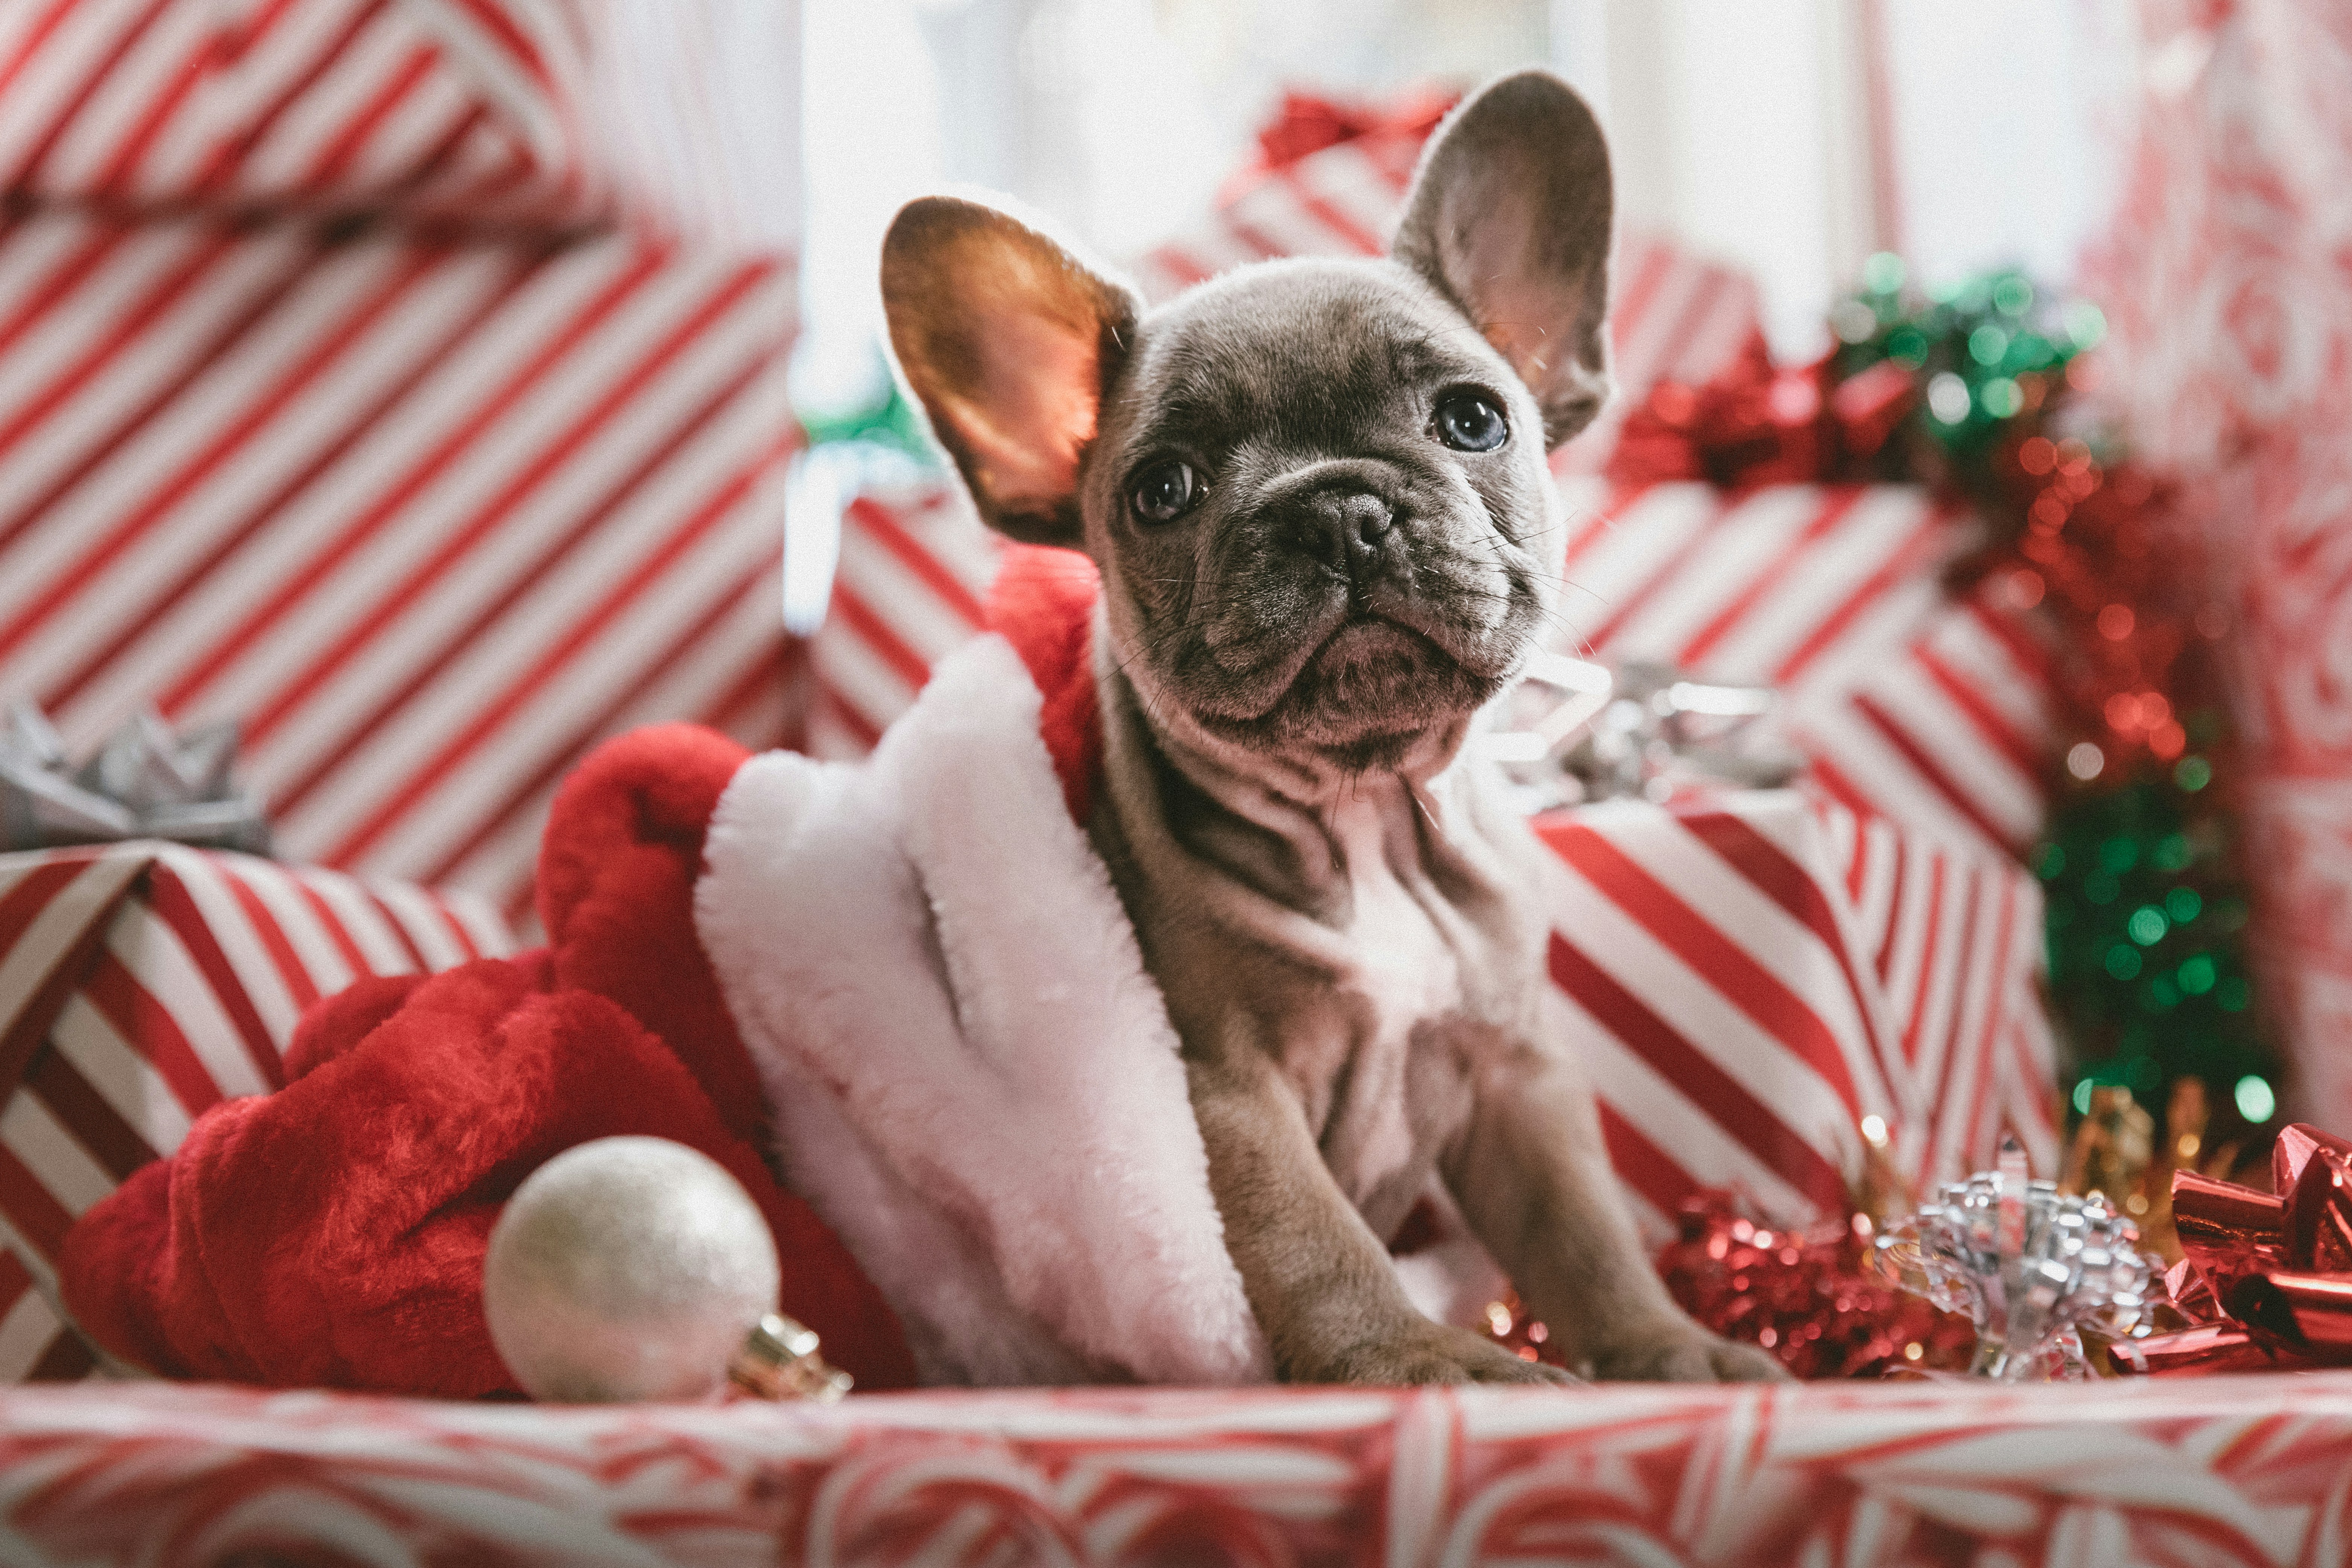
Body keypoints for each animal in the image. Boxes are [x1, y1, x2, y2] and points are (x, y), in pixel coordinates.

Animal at [884, 67, 1778, 1382]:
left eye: (1472, 420)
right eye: (1162, 490)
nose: (1336, 509)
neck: (1365, 812)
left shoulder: (1515, 1072)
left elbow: (1585, 1230)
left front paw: (1667, 1350)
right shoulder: (1223, 1096)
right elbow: (1314, 1243)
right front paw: (1422, 1360)